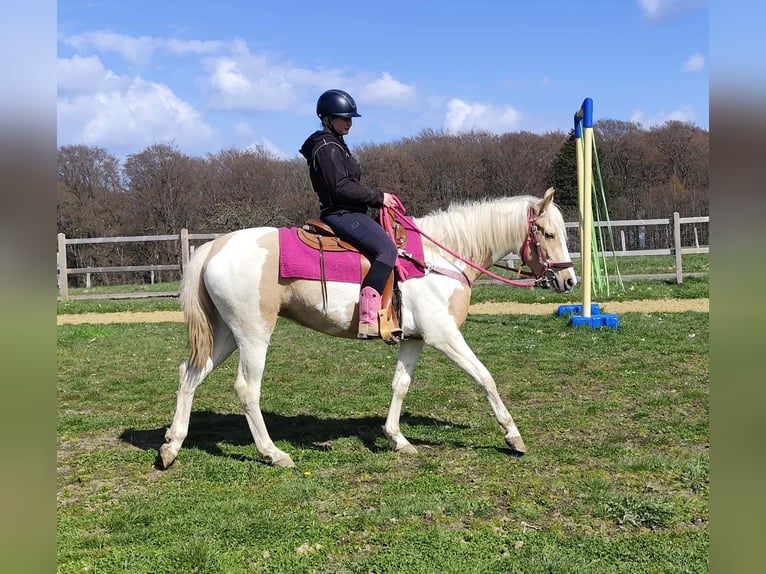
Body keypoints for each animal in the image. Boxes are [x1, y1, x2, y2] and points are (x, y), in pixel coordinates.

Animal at [159, 187, 576, 469]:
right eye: (548, 234)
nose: (569, 281)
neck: (439, 259)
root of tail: (214, 247)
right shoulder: (444, 336)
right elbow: (484, 377)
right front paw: (513, 436)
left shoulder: (415, 339)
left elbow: (400, 385)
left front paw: (397, 438)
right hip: (253, 335)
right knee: (247, 389)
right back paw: (273, 453)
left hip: (226, 335)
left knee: (189, 374)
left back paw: (171, 446)